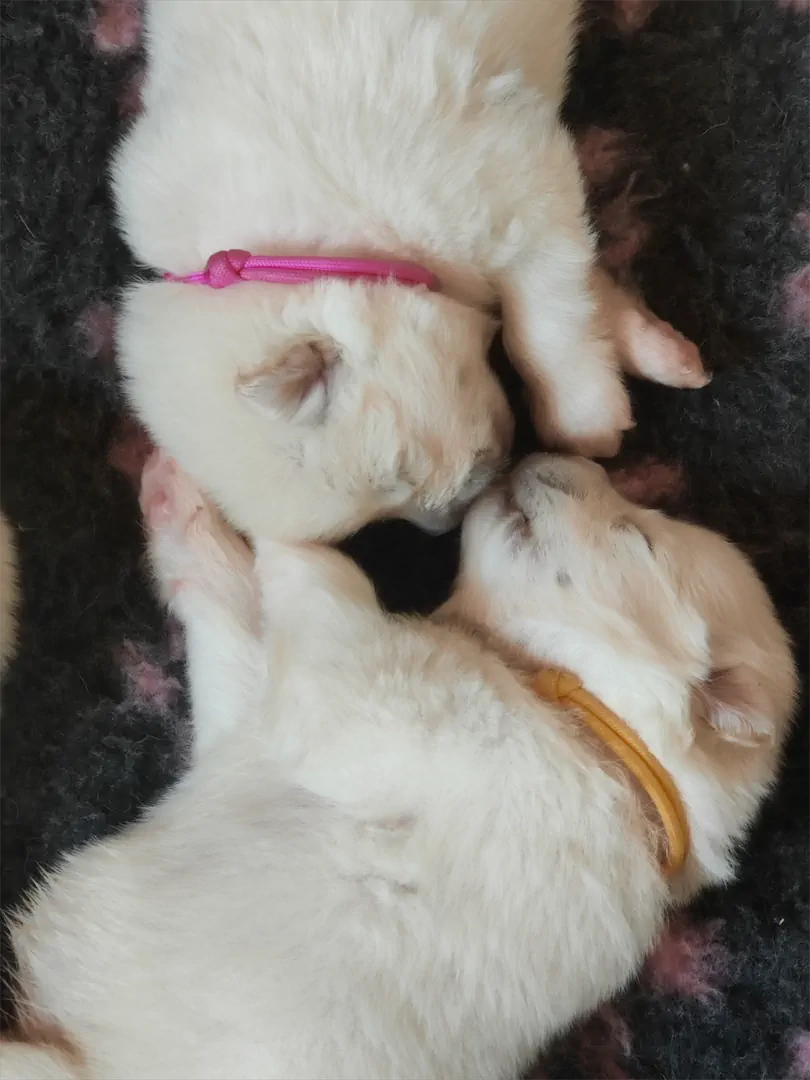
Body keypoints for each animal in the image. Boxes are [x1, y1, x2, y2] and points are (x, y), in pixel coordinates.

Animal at [2, 449, 792, 1080]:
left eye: (639, 537)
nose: (553, 454)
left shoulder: (374, 698)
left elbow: (327, 582)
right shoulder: (267, 714)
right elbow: (231, 628)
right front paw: (178, 498)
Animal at [112, 0, 707, 542]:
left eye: (400, 467)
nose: (452, 527)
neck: (309, 245)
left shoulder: (515, 178)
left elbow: (546, 323)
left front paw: (585, 423)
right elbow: (586, 289)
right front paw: (660, 350)